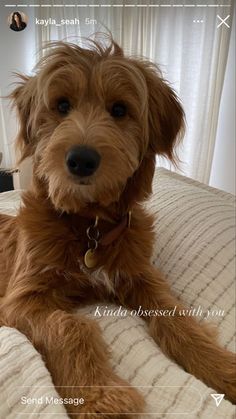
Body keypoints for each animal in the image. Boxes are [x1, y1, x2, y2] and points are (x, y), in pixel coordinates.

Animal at [0, 38, 235, 416]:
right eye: (62, 105)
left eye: (120, 110)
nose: (81, 160)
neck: (87, 225)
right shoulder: (20, 300)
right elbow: (69, 326)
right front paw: (100, 397)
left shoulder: (141, 275)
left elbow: (177, 317)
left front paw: (222, 367)